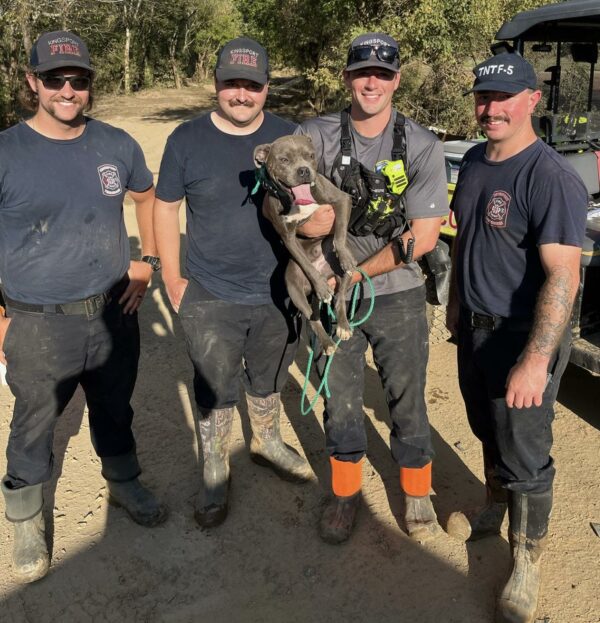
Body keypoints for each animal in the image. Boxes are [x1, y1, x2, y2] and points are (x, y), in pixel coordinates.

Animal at [253, 133, 356, 354]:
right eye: (284, 160)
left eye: (310, 156)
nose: (304, 170)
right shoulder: (288, 236)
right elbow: (307, 264)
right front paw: (321, 286)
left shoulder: (342, 200)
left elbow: (339, 235)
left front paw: (343, 254)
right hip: (294, 287)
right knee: (312, 317)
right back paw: (327, 343)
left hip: (344, 273)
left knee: (340, 298)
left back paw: (343, 326)